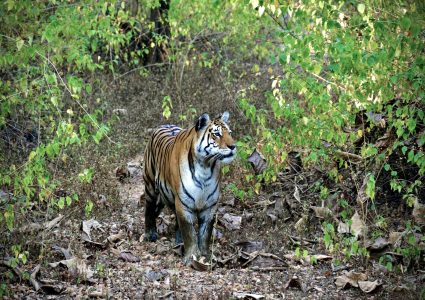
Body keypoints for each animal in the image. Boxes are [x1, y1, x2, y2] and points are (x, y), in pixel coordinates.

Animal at [142, 112, 235, 264]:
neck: (205, 167)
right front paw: (192, 257)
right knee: (149, 209)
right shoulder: (183, 203)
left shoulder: (210, 206)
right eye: (216, 134)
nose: (233, 146)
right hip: (150, 185)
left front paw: (205, 255)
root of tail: (164, 124)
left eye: (230, 133)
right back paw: (150, 234)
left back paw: (178, 242)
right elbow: (189, 232)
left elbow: (205, 233)